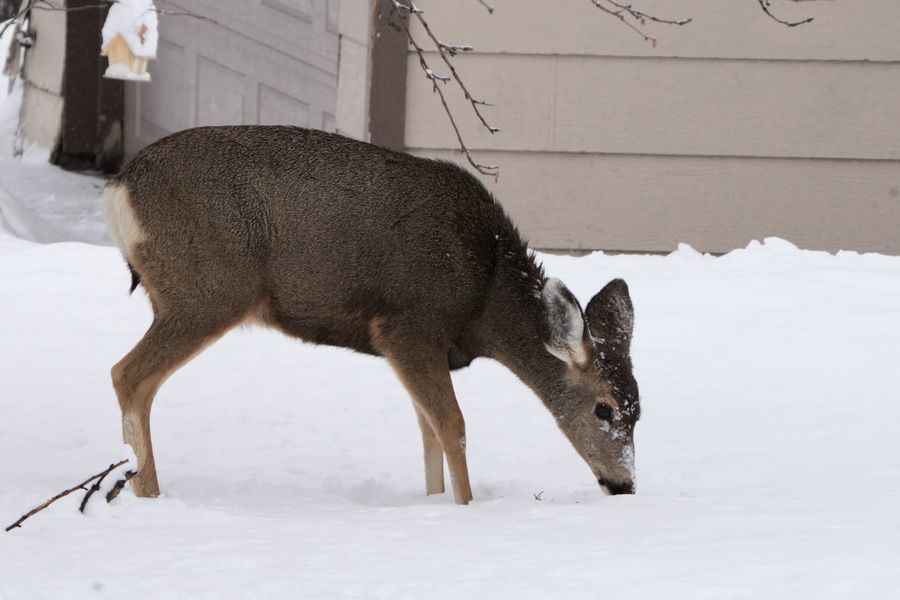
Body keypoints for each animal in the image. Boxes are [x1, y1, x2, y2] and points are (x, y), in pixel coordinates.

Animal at [103, 127, 640, 506]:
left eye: (640, 410)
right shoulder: (407, 325)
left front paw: (432, 502)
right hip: (208, 290)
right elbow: (453, 426)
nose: (625, 485)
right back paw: (148, 493)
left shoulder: (418, 347)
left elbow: (427, 431)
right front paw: (466, 509)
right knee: (127, 373)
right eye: (605, 409)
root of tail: (120, 187)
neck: (485, 295)